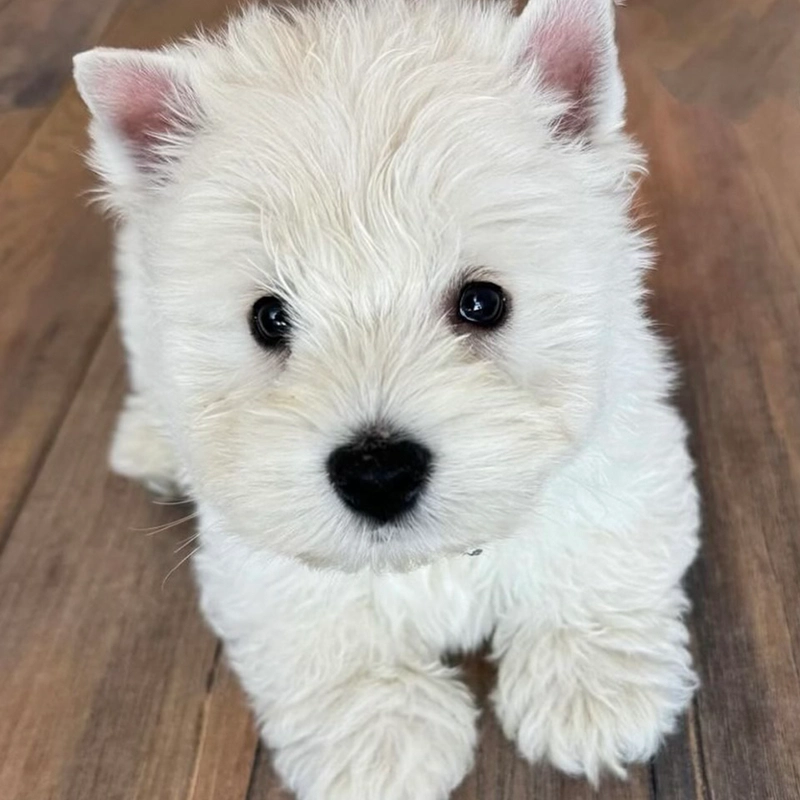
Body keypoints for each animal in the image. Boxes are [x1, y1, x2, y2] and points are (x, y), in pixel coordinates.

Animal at [75, 1, 700, 792]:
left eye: (482, 302)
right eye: (268, 318)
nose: (377, 473)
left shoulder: (622, 447)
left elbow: (592, 549)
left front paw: (590, 686)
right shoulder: (262, 554)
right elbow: (328, 630)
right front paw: (382, 737)